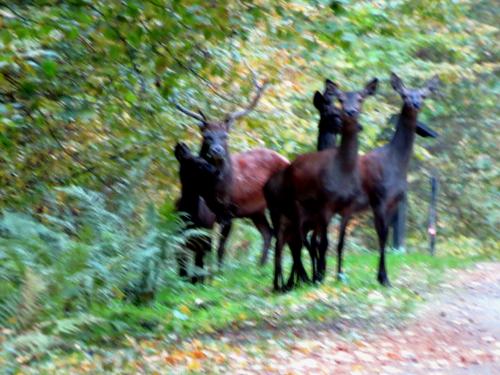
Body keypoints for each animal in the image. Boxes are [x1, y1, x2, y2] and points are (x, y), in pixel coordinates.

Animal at [264, 78, 376, 290]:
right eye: (331, 113)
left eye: (360, 99)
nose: (358, 125)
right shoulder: (319, 211)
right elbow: (316, 244)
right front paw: (316, 276)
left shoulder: (333, 213)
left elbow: (331, 244)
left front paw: (331, 275)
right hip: (280, 213)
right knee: (284, 243)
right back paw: (284, 283)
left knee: (291, 243)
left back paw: (292, 280)